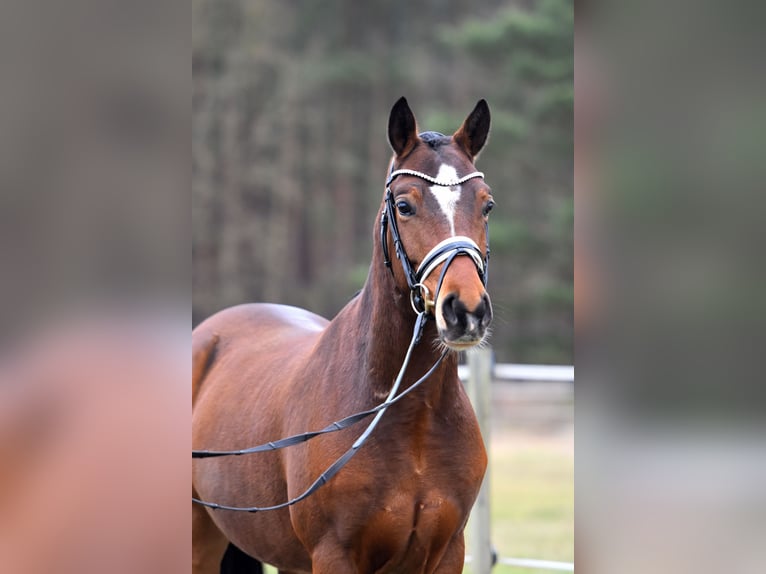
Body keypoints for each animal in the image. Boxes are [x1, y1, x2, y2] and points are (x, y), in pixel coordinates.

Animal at [195, 99, 496, 574]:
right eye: (405, 206)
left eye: (486, 206)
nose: (465, 311)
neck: (410, 419)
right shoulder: (333, 555)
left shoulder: (448, 552)